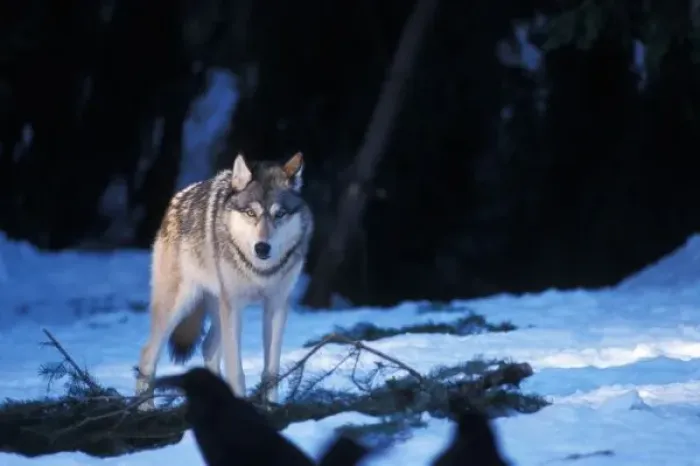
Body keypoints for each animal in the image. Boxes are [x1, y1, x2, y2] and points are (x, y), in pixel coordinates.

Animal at [134, 152, 313, 410]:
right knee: (147, 354)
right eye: (251, 213)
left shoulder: (277, 305)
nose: (262, 247)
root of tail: (178, 198)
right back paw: (145, 410)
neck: (260, 271)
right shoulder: (234, 306)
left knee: (207, 347)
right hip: (180, 307)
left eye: (279, 214)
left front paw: (270, 408)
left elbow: (271, 371)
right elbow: (236, 371)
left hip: (218, 311)